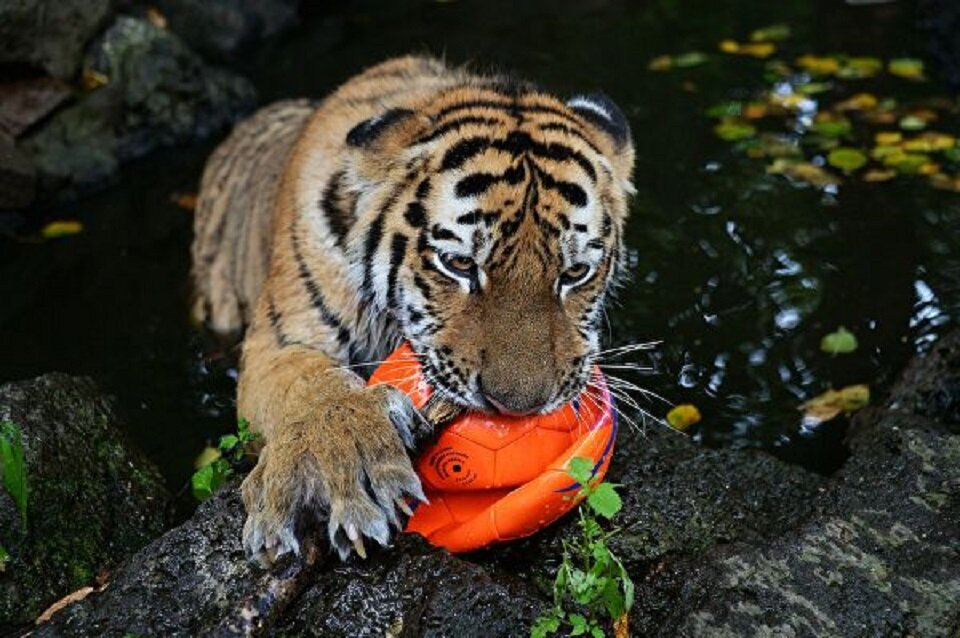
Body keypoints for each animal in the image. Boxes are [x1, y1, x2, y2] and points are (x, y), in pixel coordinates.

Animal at [188, 56, 636, 564]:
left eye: (575, 273)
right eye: (459, 264)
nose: (519, 407)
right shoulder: (279, 340)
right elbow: (312, 387)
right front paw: (351, 467)